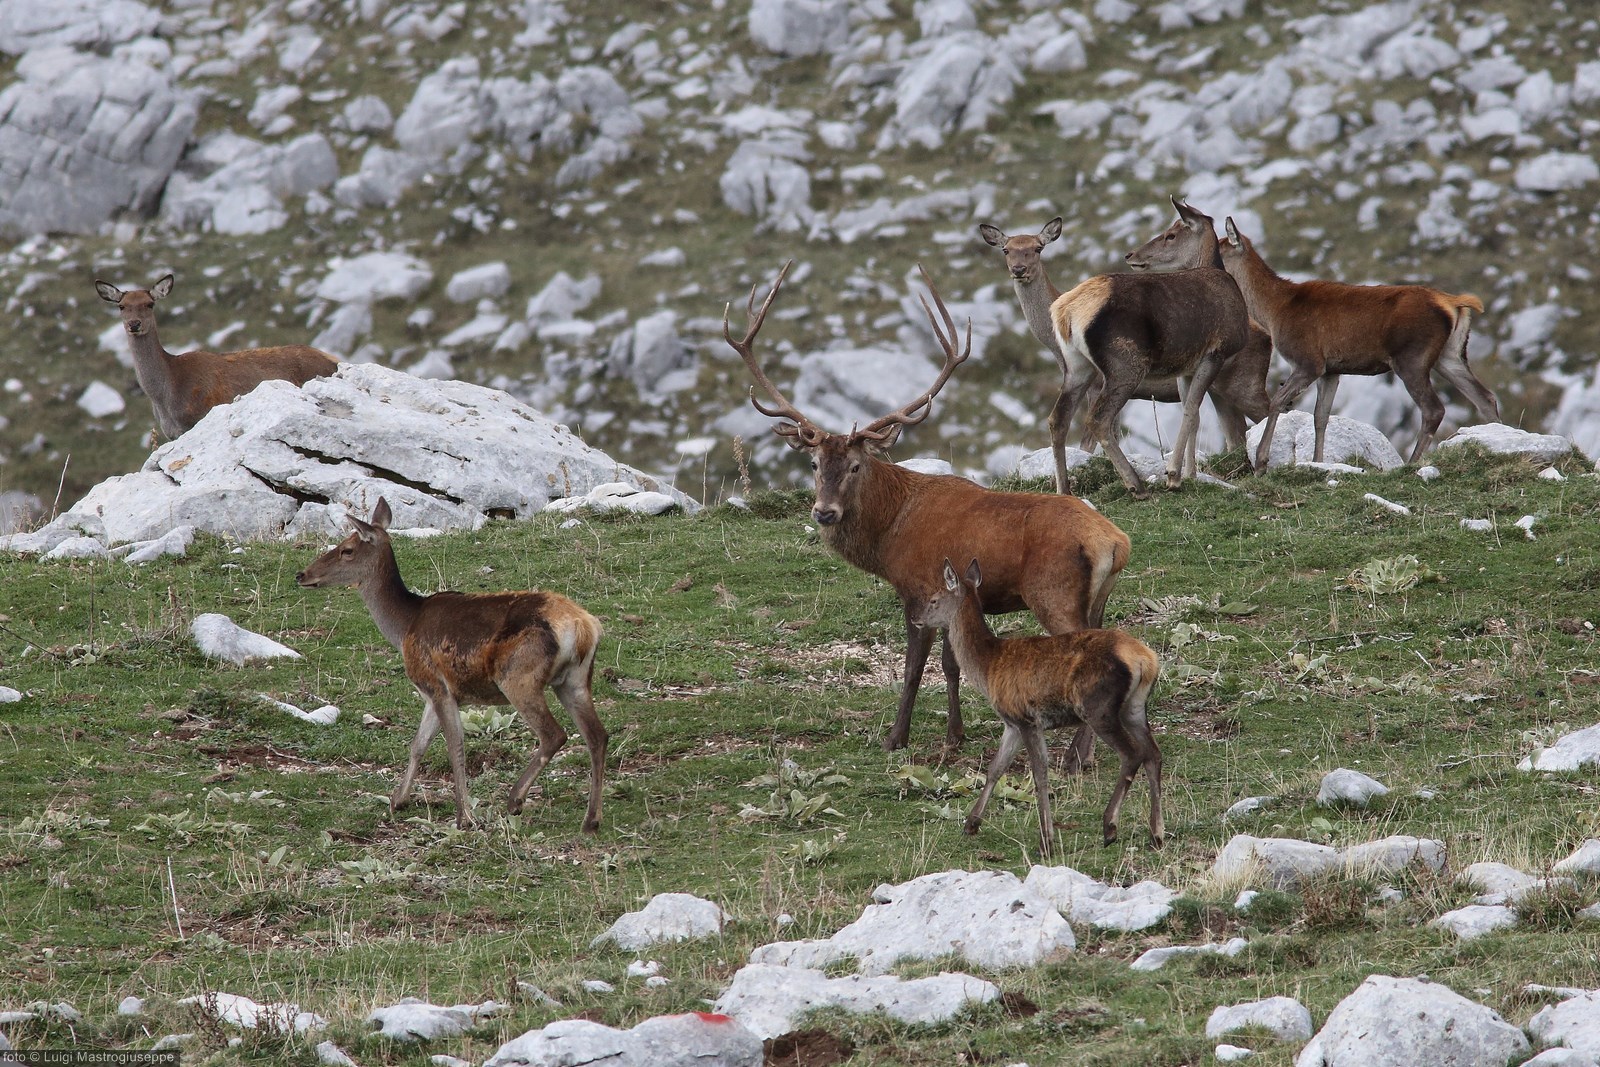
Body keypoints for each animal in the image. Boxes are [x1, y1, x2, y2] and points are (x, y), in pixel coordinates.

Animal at [296, 498, 608, 833]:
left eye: (347, 549)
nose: (301, 574)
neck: (404, 627)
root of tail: (583, 627)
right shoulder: (434, 692)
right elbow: (418, 744)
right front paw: (398, 800)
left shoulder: (436, 684)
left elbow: (454, 746)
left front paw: (464, 817)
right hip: (575, 679)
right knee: (597, 736)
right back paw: (591, 819)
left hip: (519, 677)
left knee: (554, 734)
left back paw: (515, 800)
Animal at [726, 262, 1130, 773]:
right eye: (814, 464)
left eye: (855, 465)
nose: (824, 511)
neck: (889, 536)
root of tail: (1115, 542)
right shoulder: (952, 595)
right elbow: (952, 665)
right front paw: (954, 737)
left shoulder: (917, 589)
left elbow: (915, 668)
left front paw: (895, 738)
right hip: (1098, 598)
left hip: (1053, 593)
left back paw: (1077, 756)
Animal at [913, 558, 1163, 857]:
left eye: (934, 599)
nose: (916, 618)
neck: (988, 667)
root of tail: (1146, 660)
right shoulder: (1011, 722)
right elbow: (995, 767)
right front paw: (971, 823)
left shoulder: (1026, 718)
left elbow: (1040, 773)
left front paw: (1047, 840)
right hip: (1134, 707)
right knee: (1153, 754)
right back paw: (1156, 833)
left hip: (1099, 707)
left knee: (1133, 754)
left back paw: (1110, 827)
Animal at [979, 216, 1264, 493]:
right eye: (1006, 249)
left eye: (1038, 248)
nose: (1019, 270)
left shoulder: (1100, 382)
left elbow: (1090, 442)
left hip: (1138, 369)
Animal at [1218, 217, 1501, 470]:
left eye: (1219, 250)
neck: (1275, 311)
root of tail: (1452, 303)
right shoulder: (1331, 370)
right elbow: (1321, 416)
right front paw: (1318, 462)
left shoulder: (1308, 361)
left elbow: (1277, 402)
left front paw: (1261, 462)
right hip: (1450, 355)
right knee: (1485, 397)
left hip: (1412, 357)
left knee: (1434, 409)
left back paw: (1411, 464)